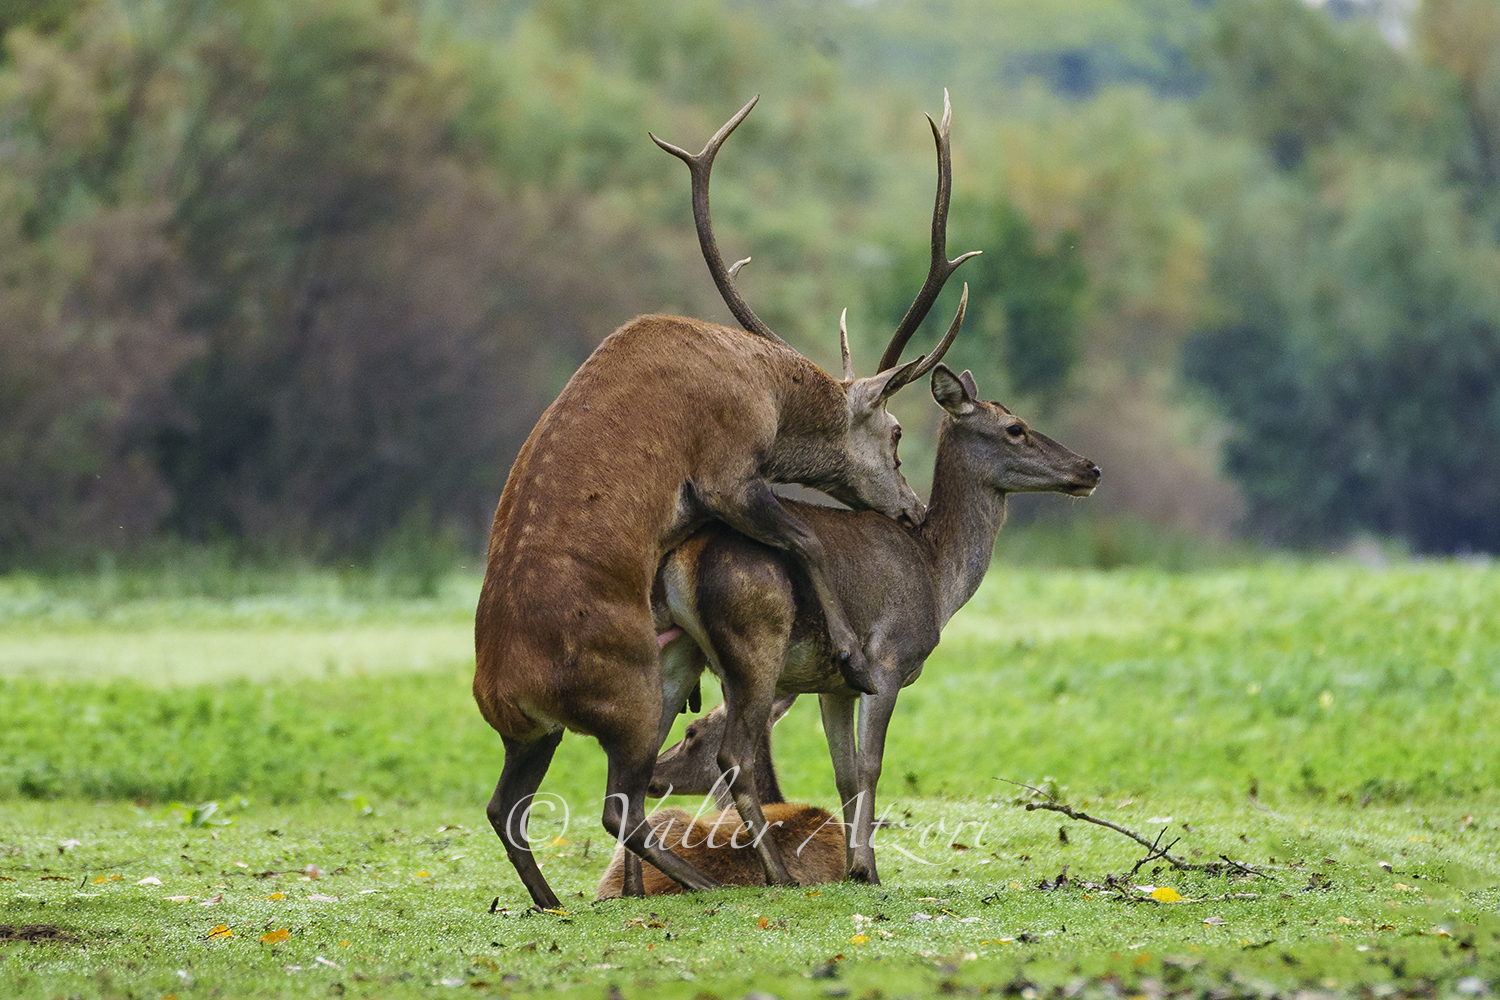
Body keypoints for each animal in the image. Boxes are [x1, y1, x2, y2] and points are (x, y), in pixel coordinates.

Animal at [645, 365, 1100, 886]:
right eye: (1015, 428)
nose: (1091, 469)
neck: (937, 576)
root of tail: (682, 558)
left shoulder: (832, 686)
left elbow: (843, 772)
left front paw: (851, 867)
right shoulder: (886, 662)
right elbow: (871, 765)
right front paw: (866, 869)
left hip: (678, 651)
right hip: (754, 645)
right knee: (732, 756)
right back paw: (778, 874)